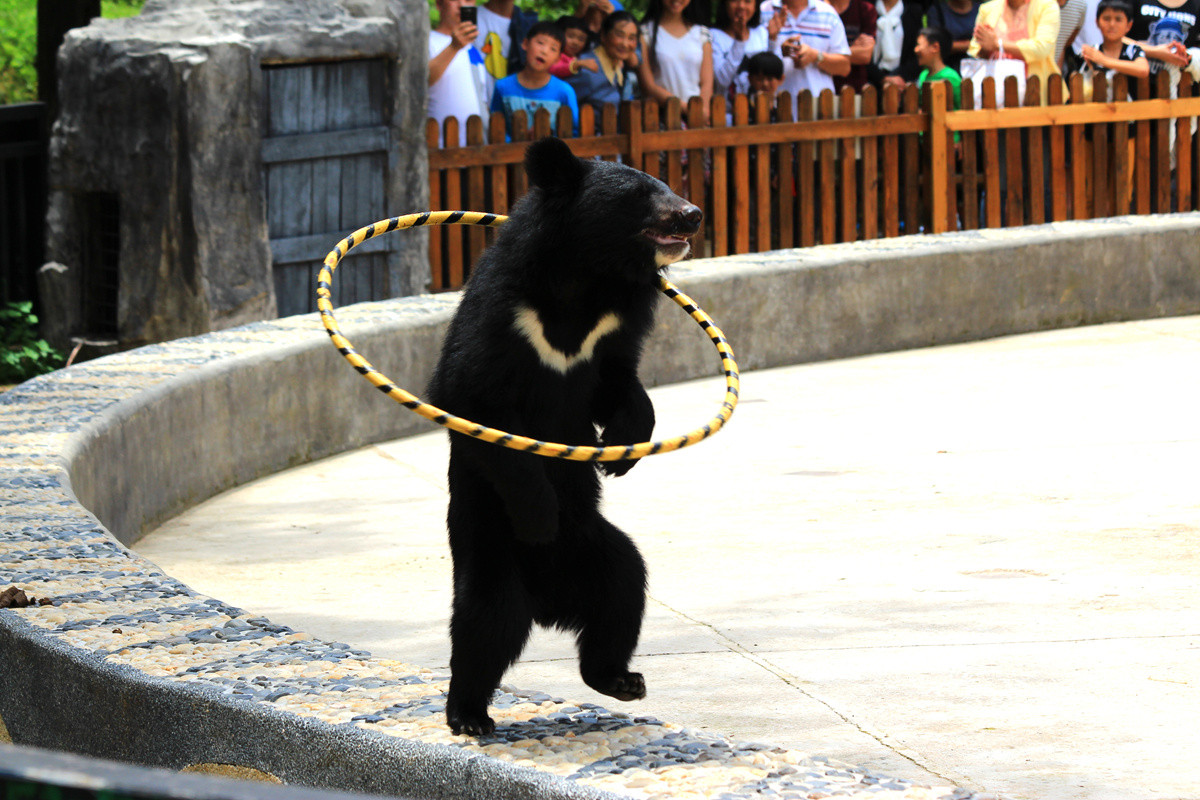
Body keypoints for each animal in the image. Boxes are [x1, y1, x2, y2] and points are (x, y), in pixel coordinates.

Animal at [426, 137, 703, 737]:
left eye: (666, 184)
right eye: (640, 193)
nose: (693, 213)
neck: (586, 272)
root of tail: (550, 601)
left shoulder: (620, 317)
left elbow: (618, 378)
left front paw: (619, 454)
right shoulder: (502, 310)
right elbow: (472, 394)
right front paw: (539, 515)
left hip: (601, 550)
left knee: (623, 591)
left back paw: (620, 679)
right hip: (487, 542)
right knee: (486, 621)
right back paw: (469, 714)